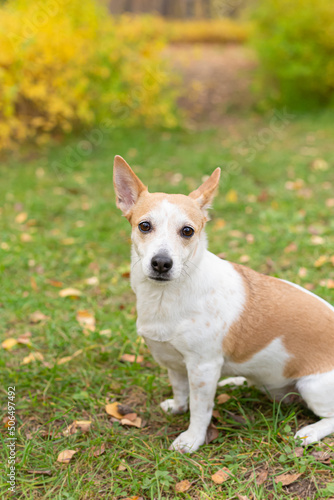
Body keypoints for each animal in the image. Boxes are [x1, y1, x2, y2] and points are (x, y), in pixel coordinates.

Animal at [113, 155, 334, 454]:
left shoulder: (202, 368)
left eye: (187, 231)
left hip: (313, 386)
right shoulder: (174, 363)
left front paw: (192, 439)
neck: (164, 297)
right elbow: (181, 392)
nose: (161, 263)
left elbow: (200, 409)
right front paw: (177, 407)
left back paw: (310, 432)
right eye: (144, 226)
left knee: (330, 418)